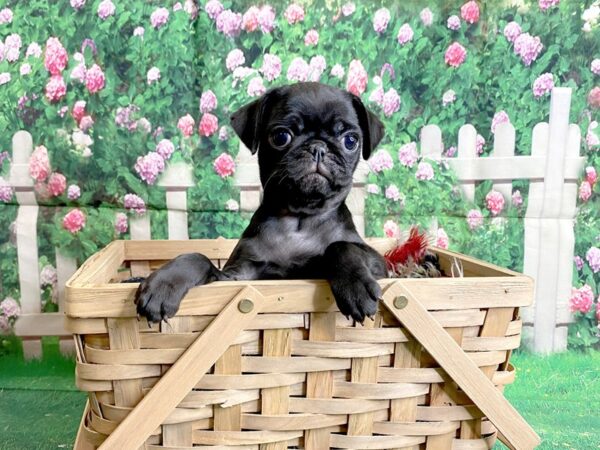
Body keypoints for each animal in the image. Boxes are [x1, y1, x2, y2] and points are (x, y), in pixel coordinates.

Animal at [135, 81, 386, 324]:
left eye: (350, 141)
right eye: (281, 136)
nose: (318, 147)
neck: (299, 219)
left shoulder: (380, 266)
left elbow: (341, 246)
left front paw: (356, 287)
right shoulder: (237, 275)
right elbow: (198, 257)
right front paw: (164, 284)